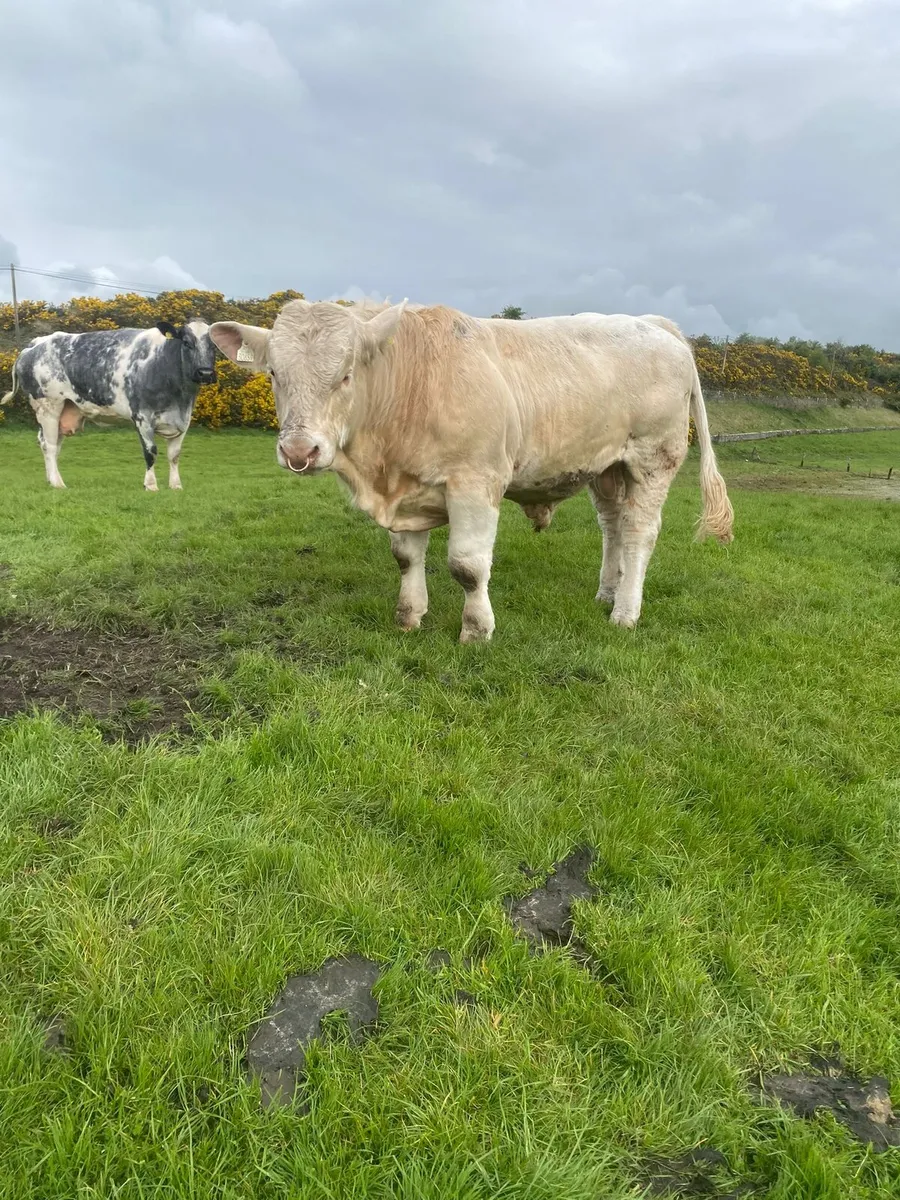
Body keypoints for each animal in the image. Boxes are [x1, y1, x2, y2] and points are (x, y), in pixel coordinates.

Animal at [1, 320, 217, 490]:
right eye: (186, 343)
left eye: (214, 346)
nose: (205, 373)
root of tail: (35, 344)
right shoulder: (142, 416)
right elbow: (151, 452)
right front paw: (151, 485)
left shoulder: (182, 421)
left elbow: (174, 455)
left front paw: (175, 486)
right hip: (49, 406)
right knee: (50, 445)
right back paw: (58, 483)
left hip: (64, 410)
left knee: (49, 444)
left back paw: (50, 480)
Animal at [209, 300, 734, 642]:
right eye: (274, 374)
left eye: (345, 375)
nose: (300, 450)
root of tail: (652, 323)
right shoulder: (408, 491)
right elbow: (406, 558)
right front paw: (409, 616)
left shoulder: (475, 482)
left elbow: (467, 565)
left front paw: (476, 630)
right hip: (607, 466)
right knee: (614, 527)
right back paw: (607, 592)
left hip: (653, 457)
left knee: (640, 532)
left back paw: (625, 612)